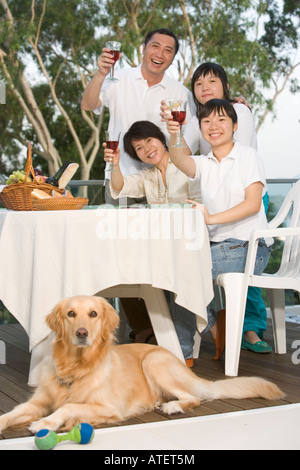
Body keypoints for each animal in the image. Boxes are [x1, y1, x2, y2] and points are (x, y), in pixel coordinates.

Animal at [0, 296, 284, 436]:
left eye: (93, 314)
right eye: (71, 314)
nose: (82, 333)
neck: (75, 366)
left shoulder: (109, 407)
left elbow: (69, 406)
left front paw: (46, 423)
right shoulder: (37, 402)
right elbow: (13, 412)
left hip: (154, 361)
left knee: (194, 397)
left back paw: (172, 405)